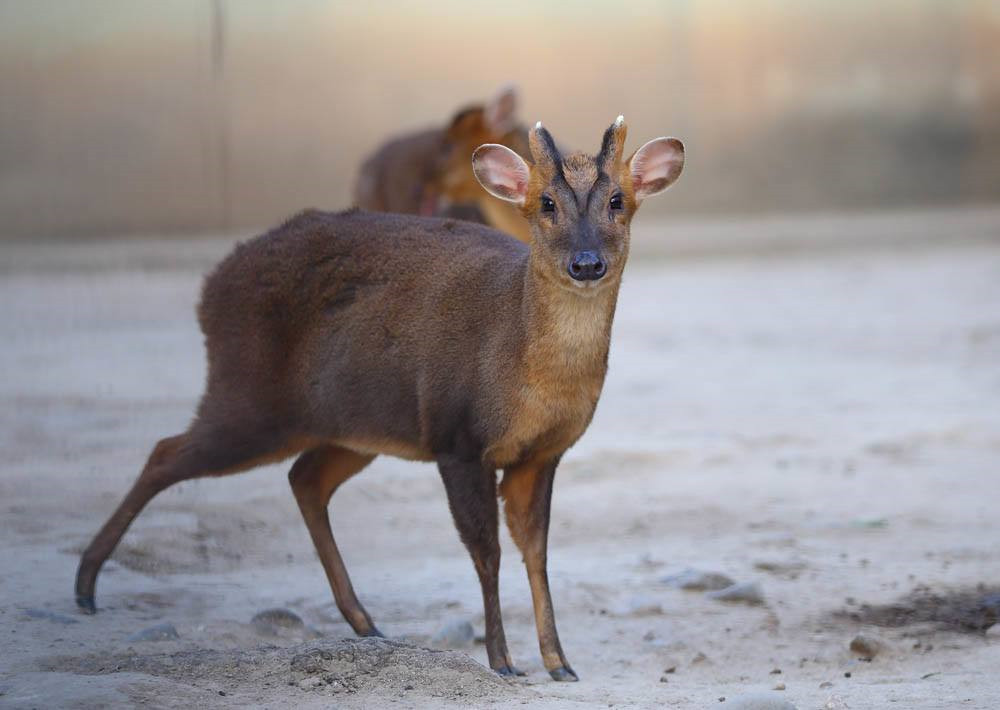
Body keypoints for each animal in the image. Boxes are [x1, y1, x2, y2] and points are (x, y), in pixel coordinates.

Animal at [76, 118, 680, 684]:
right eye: (546, 203)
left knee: (304, 478)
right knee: (166, 451)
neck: (525, 375)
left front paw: (559, 661)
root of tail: (209, 288)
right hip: (249, 397)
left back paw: (366, 623)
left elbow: (538, 551)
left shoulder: (544, 453)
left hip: (352, 426)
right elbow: (487, 552)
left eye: (618, 200)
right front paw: (503, 661)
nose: (586, 263)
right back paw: (85, 586)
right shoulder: (456, 437)